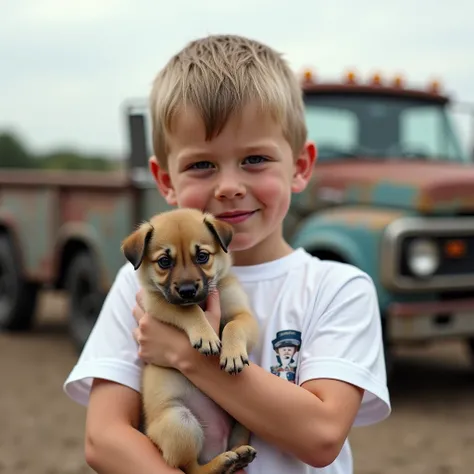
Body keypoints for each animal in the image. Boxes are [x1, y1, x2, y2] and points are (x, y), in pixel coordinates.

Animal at [119, 207, 260, 474]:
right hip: (180, 421)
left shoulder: (245, 316)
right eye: (164, 261)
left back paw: (240, 455)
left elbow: (233, 326)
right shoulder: (159, 303)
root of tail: (215, 446)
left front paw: (232, 354)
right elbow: (190, 310)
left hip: (244, 416)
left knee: (235, 444)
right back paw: (221, 463)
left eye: (202, 256)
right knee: (191, 468)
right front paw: (206, 336)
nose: (186, 291)